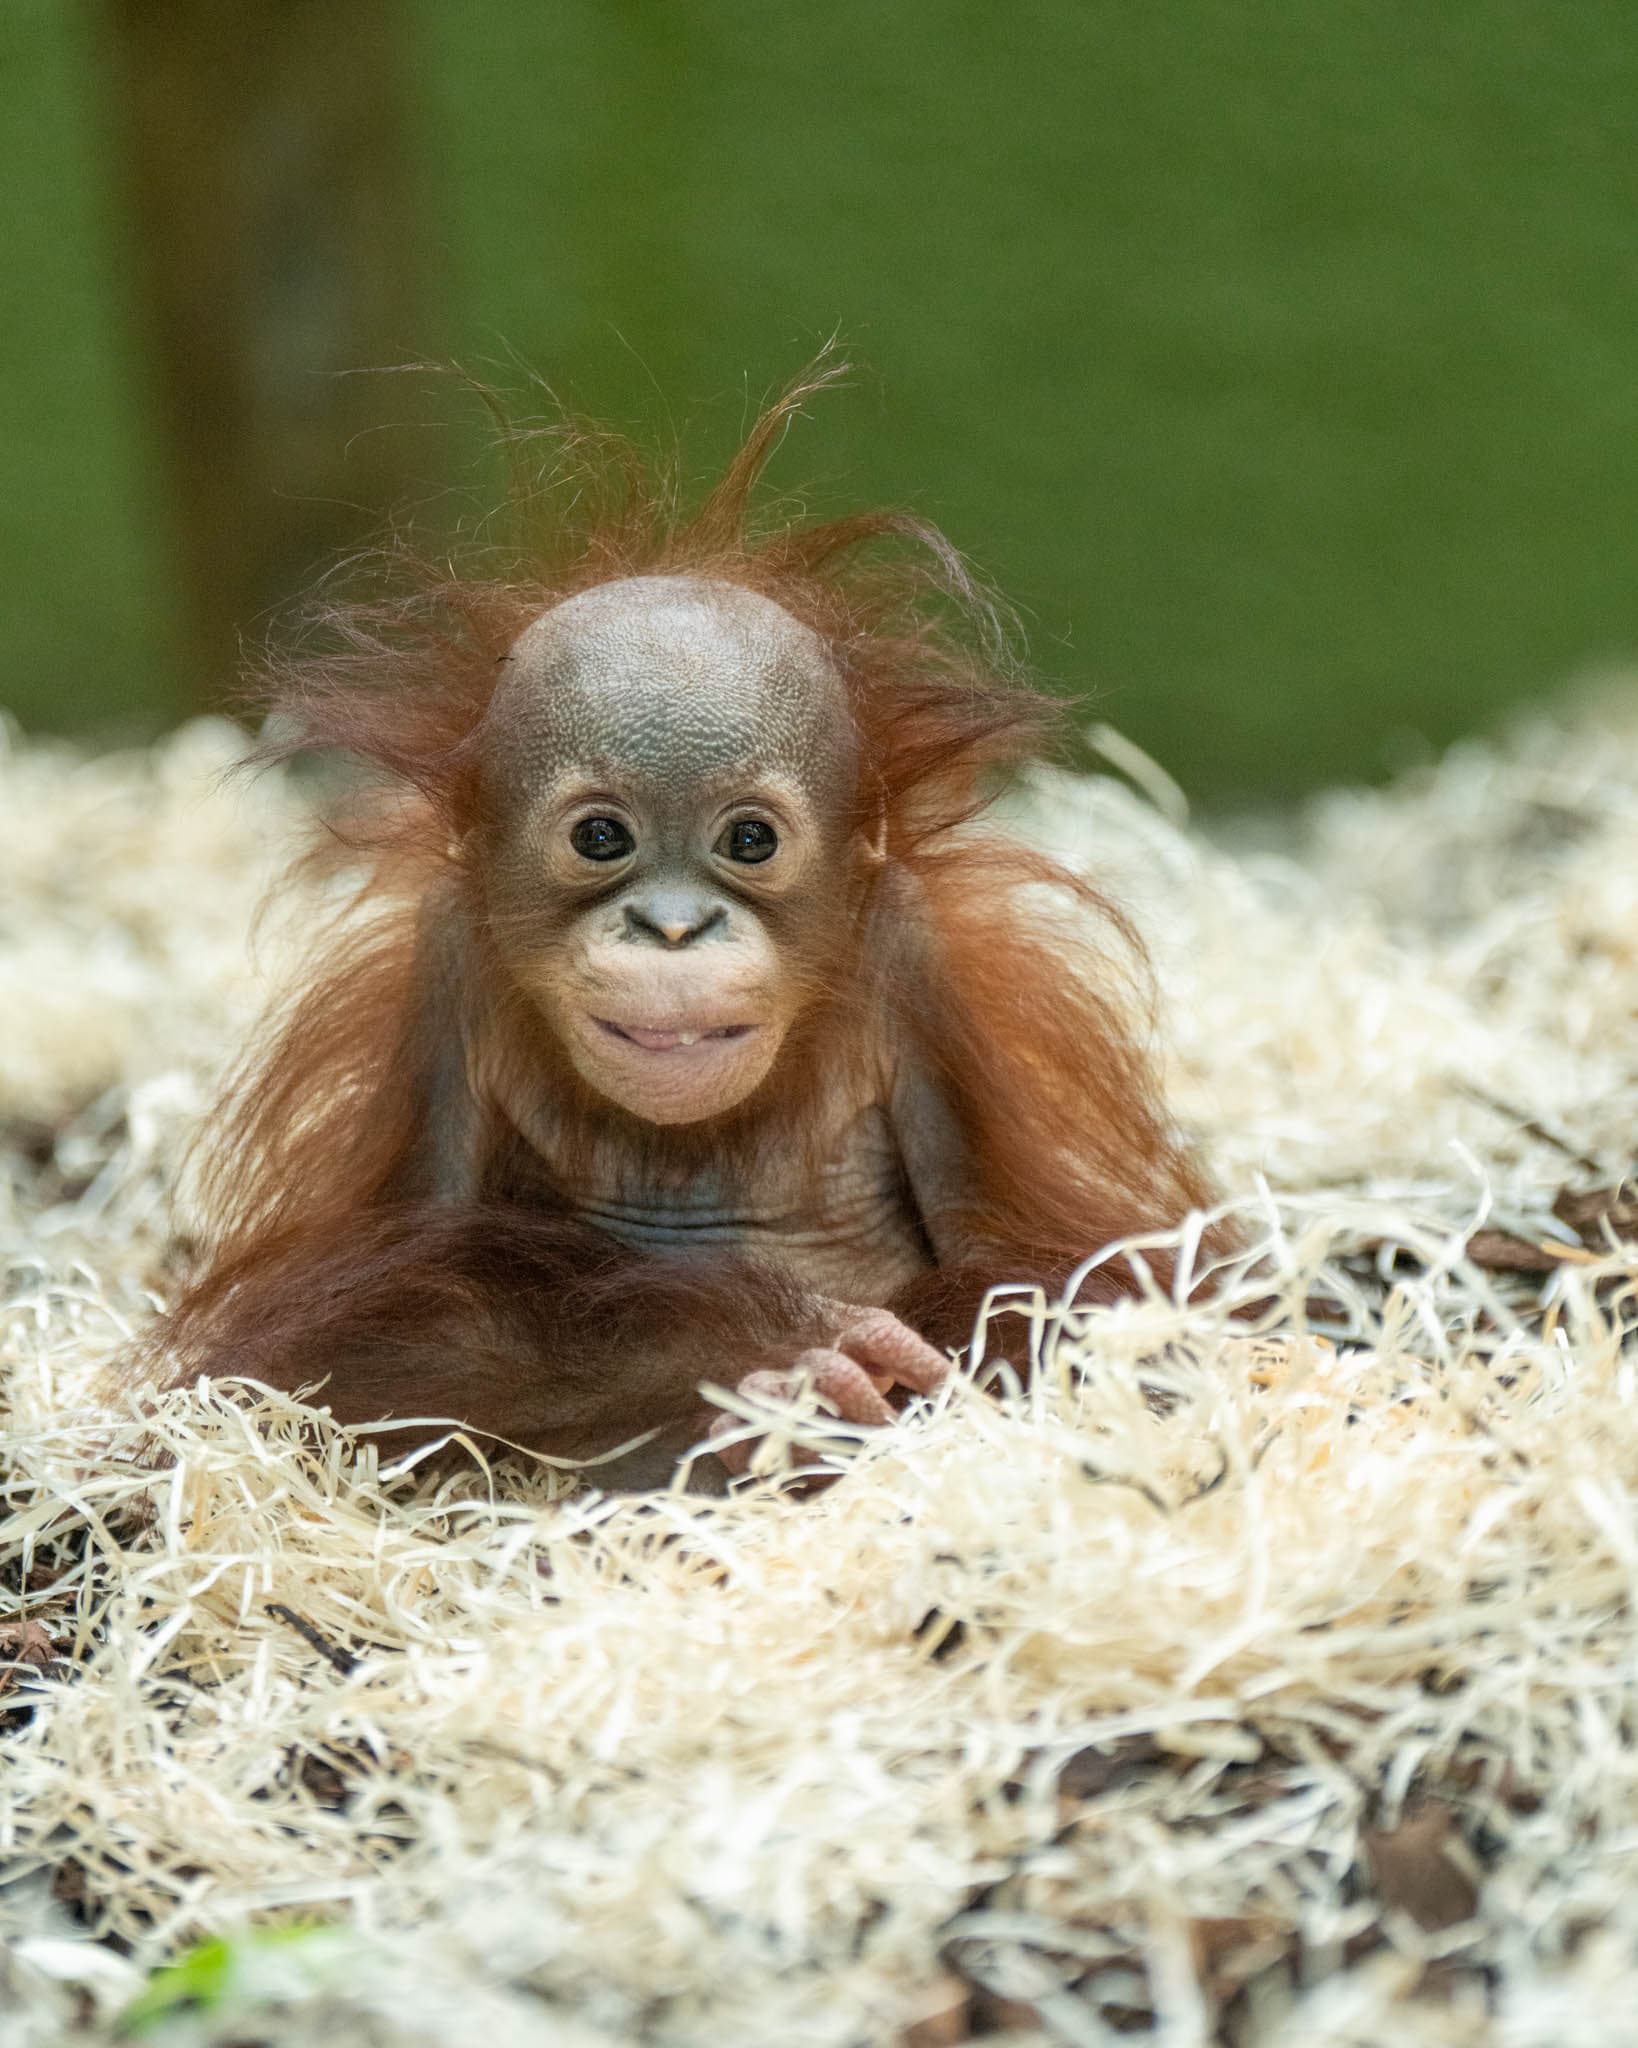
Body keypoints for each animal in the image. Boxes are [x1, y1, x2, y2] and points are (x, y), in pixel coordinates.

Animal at [153, 365, 1216, 1487]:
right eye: (602, 835)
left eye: (748, 838)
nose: (671, 926)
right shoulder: (444, 968)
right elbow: (368, 1329)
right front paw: (776, 1366)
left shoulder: (924, 965)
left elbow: (1057, 1278)